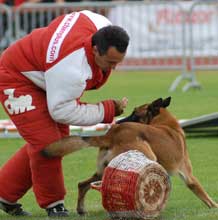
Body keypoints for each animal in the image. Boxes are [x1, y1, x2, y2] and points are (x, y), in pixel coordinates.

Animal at [42, 96, 218, 215]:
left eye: (134, 114)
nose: (117, 121)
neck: (166, 124)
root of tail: (111, 134)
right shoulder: (189, 177)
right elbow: (205, 195)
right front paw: (214, 206)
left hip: (103, 170)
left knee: (83, 184)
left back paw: (81, 210)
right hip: (147, 155)